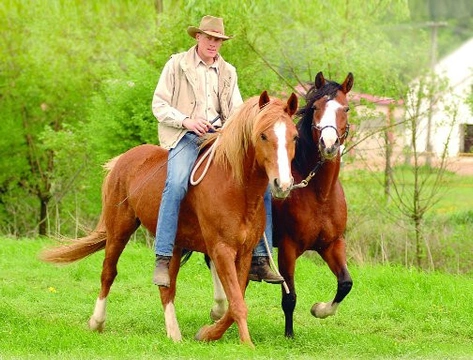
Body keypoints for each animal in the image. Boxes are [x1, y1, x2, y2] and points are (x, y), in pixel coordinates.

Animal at [41, 91, 298, 348]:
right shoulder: (222, 249)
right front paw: (246, 344)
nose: (282, 184)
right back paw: (97, 322)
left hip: (173, 244)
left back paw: (173, 332)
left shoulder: (243, 253)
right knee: (108, 273)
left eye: (294, 136)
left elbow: (236, 299)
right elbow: (237, 302)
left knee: (167, 287)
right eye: (262, 135)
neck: (235, 187)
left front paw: (208, 333)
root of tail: (122, 160)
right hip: (119, 231)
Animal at [208, 72, 352, 338]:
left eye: (345, 108)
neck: (319, 194)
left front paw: (320, 309)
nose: (328, 144)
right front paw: (289, 335)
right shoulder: (288, 248)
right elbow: (290, 296)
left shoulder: (332, 244)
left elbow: (345, 283)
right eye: (315, 107)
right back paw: (219, 310)